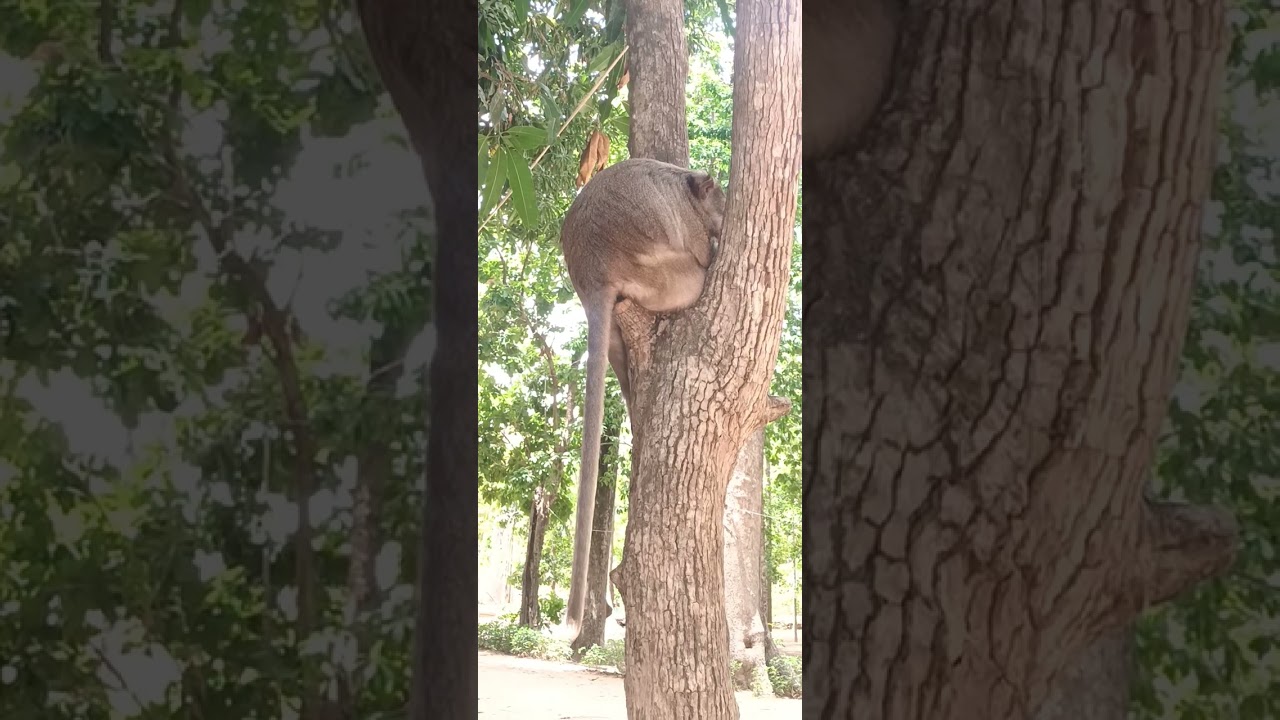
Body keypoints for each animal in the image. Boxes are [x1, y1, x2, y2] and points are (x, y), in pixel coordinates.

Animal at [557, 157, 727, 643]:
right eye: (720, 200)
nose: (723, 219)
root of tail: (592, 273)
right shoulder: (687, 222)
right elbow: (699, 244)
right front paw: (715, 239)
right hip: (660, 275)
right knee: (694, 274)